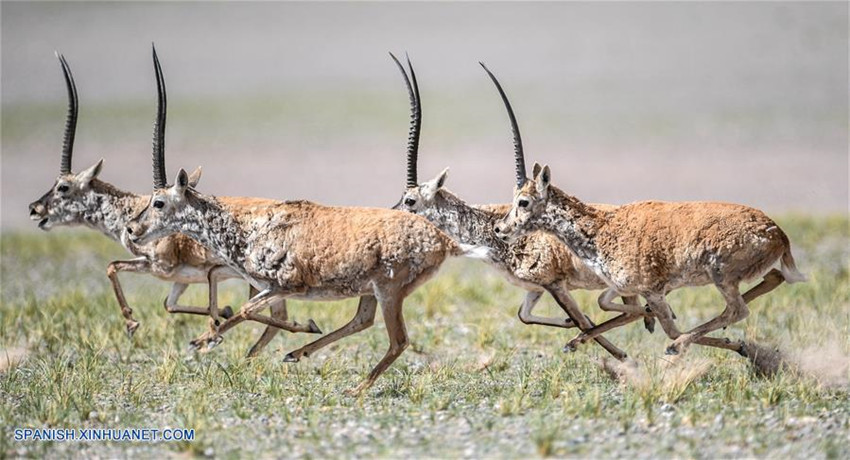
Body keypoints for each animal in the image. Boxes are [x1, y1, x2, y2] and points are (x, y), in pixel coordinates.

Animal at [27, 50, 312, 358]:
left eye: (63, 187)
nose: (34, 209)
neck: (131, 209)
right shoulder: (178, 279)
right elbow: (168, 303)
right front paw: (219, 316)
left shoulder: (160, 266)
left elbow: (114, 267)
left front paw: (134, 323)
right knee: (273, 316)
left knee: (273, 314)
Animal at [125, 57, 484, 396]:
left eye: (158, 202)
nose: (131, 229)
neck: (246, 227)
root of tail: (442, 240)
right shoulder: (268, 287)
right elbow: (257, 314)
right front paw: (219, 341)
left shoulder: (287, 286)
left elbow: (247, 310)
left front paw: (211, 339)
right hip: (371, 291)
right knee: (362, 321)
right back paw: (298, 354)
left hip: (389, 290)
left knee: (398, 340)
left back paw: (353, 386)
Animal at [390, 54, 656, 360]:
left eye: (410, 200)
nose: (390, 217)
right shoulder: (534, 289)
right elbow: (525, 315)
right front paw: (570, 326)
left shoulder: (554, 284)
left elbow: (583, 321)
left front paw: (615, 353)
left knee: (626, 307)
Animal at [486, 64, 804, 356]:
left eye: (523, 201)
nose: (500, 229)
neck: (601, 227)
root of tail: (778, 234)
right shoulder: (633, 289)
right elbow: (608, 304)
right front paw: (581, 338)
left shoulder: (652, 289)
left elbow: (667, 326)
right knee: (771, 280)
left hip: (722, 277)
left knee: (734, 311)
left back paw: (689, 346)